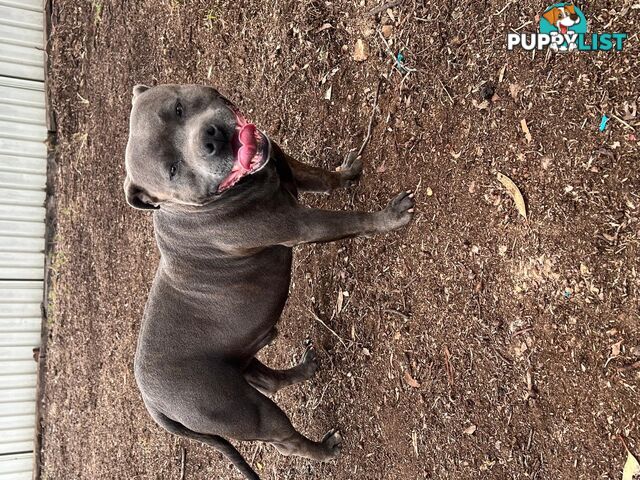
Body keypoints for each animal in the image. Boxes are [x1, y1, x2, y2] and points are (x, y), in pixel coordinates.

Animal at [124, 84, 416, 478]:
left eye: (179, 108)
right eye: (173, 170)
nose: (210, 140)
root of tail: (153, 404)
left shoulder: (287, 163)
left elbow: (322, 177)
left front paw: (346, 172)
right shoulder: (302, 225)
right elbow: (351, 220)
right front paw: (389, 217)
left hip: (241, 363)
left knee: (269, 381)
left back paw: (304, 369)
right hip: (246, 411)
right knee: (284, 439)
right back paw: (324, 449)